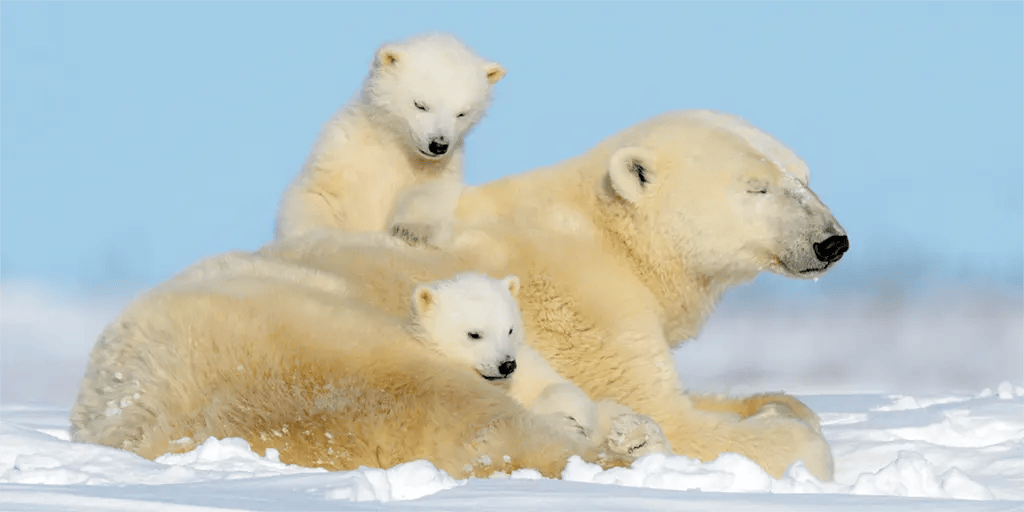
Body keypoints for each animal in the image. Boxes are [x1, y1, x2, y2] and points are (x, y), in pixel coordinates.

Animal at [253, 109, 849, 480]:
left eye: (804, 177)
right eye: (756, 187)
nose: (832, 241)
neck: (612, 236)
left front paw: (783, 405)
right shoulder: (588, 310)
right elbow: (667, 413)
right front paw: (794, 438)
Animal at [275, 33, 505, 241]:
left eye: (462, 113)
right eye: (420, 105)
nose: (438, 145)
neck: (395, 144)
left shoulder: (439, 167)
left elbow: (428, 195)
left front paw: (410, 230)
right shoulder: (342, 152)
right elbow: (318, 194)